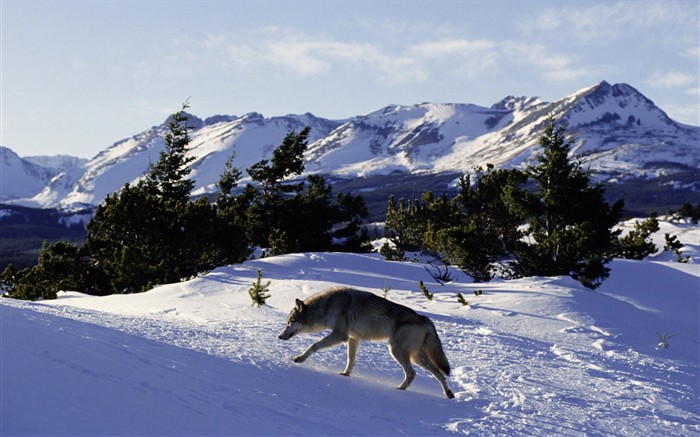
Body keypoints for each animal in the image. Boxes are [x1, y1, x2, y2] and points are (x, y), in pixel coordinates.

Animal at [278, 286, 454, 398]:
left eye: (290, 322)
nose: (279, 336)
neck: (328, 305)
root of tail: (424, 318)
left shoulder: (340, 335)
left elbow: (314, 345)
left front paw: (300, 358)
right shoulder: (353, 338)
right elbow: (351, 359)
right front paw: (346, 374)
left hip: (397, 351)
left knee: (412, 373)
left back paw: (399, 389)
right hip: (416, 357)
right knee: (439, 373)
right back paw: (448, 394)